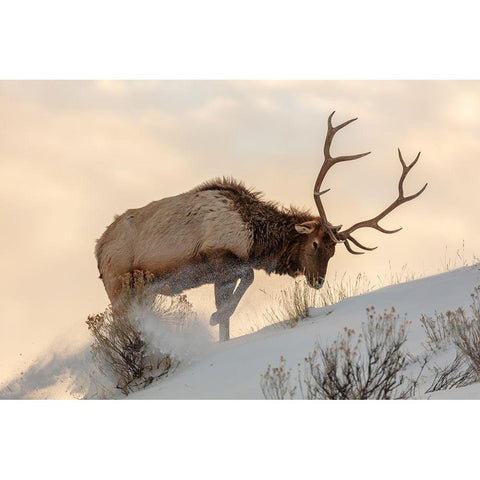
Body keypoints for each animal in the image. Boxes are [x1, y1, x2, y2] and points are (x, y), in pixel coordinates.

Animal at [95, 110, 426, 340]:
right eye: (315, 243)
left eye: (334, 252)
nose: (318, 281)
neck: (256, 239)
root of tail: (98, 250)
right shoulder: (217, 257)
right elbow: (249, 277)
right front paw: (213, 317)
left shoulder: (220, 276)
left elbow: (229, 317)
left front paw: (219, 324)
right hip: (118, 287)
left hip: (141, 292)